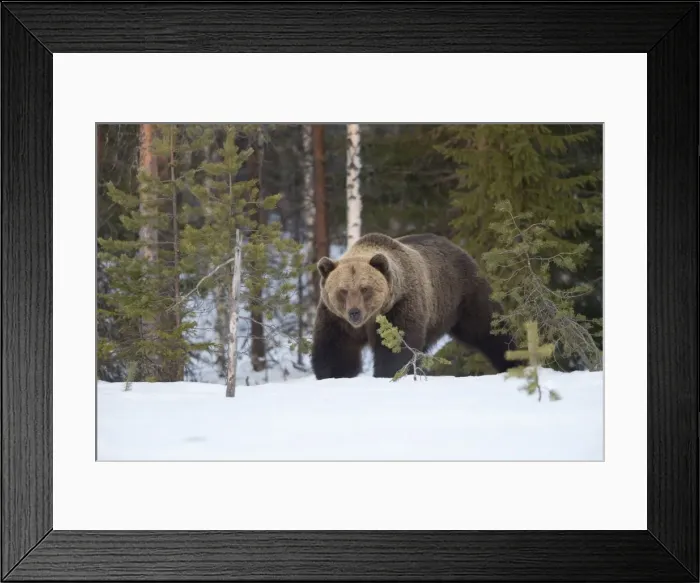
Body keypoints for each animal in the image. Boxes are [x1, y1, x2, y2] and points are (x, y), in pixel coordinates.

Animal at [311, 232, 521, 380]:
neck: (370, 319)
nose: (354, 312)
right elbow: (335, 350)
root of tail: (458, 247)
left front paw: (388, 372)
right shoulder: (336, 319)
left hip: (464, 295)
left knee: (488, 329)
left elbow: (396, 348)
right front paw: (333, 374)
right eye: (343, 290)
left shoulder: (400, 306)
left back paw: (514, 361)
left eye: (365, 289)